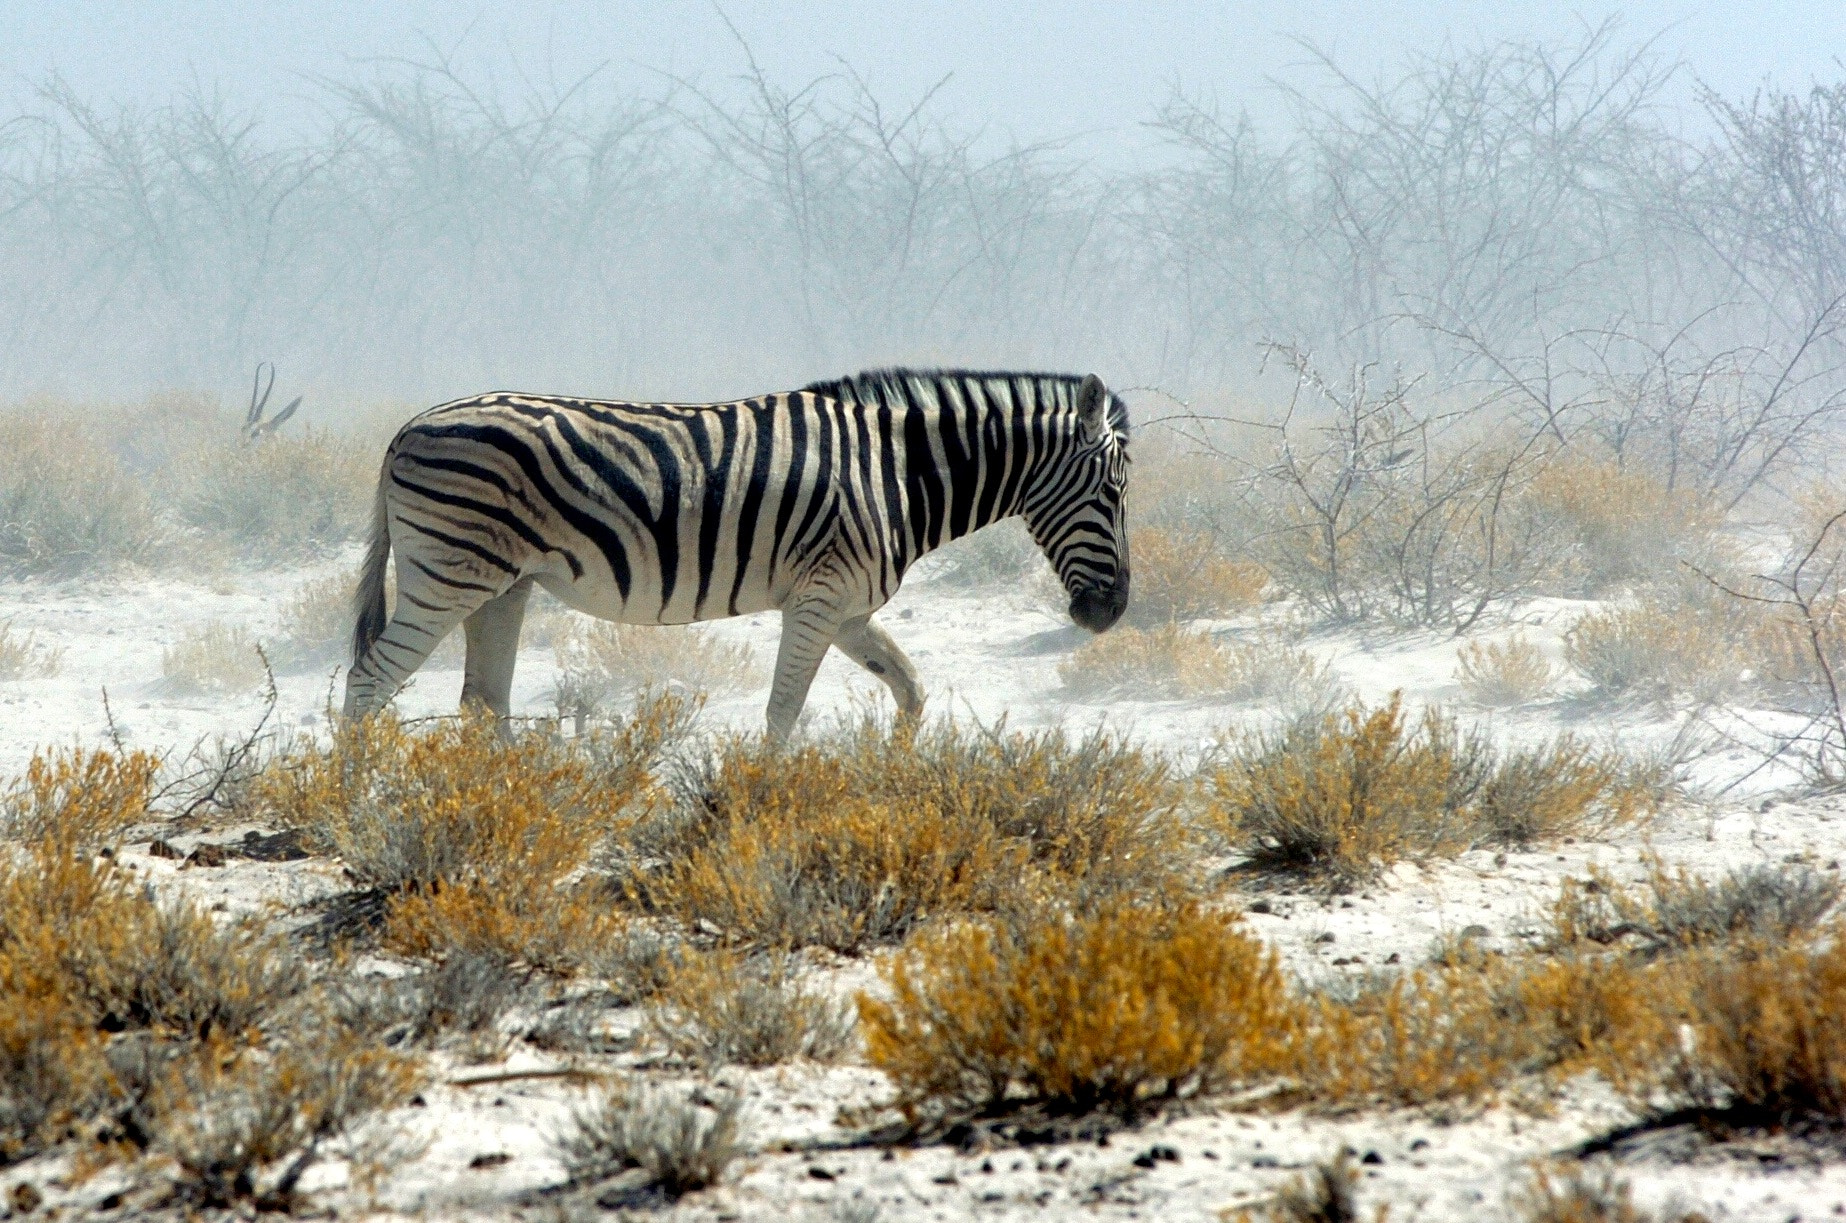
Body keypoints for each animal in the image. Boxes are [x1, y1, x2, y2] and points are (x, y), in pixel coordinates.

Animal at [339, 368, 1129, 741]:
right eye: (1112, 493)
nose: (1111, 613)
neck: (897, 473)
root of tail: (407, 426)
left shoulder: (847, 611)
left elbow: (909, 688)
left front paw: (895, 772)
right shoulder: (819, 598)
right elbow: (783, 710)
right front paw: (757, 801)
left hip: (504, 584)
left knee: (483, 700)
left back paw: (514, 807)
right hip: (450, 574)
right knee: (369, 679)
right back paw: (352, 802)